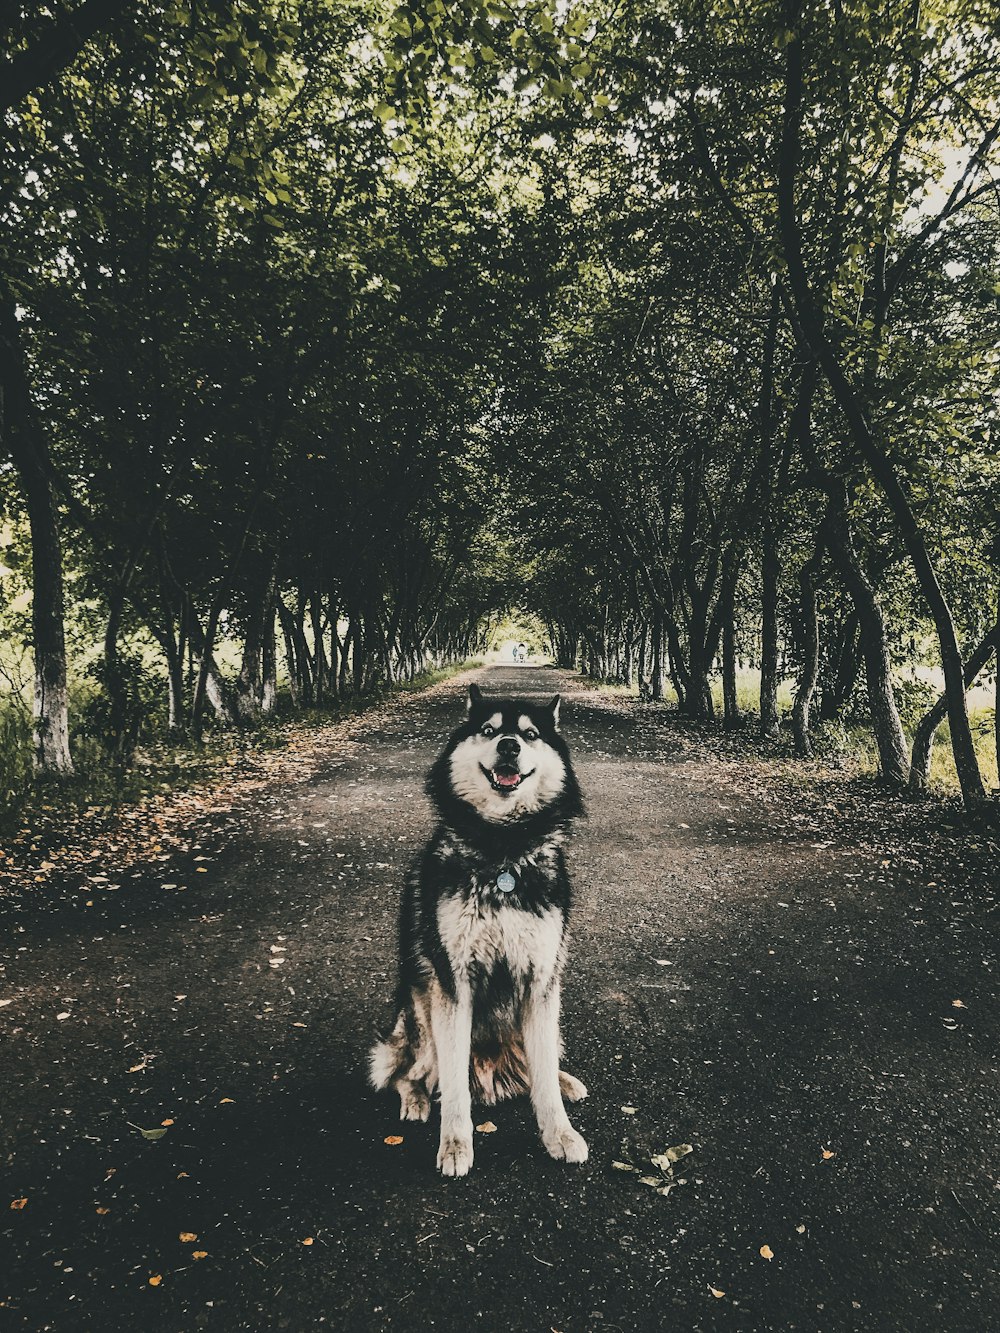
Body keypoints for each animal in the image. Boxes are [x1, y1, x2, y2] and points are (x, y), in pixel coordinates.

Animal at [373, 682, 592, 1173]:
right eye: (489, 730)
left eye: (529, 734)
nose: (508, 746)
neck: (504, 852)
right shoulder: (454, 983)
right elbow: (454, 1087)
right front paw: (455, 1144)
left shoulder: (541, 979)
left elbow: (542, 1079)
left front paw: (559, 1132)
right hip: (421, 1016)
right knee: (406, 1072)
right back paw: (415, 1100)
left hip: (547, 1021)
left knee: (537, 1064)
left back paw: (563, 1079)